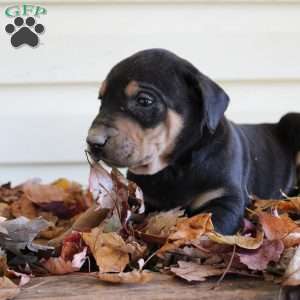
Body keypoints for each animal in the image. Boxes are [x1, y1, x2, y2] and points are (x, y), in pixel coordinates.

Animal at [86, 48, 300, 234]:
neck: (175, 167)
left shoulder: (226, 199)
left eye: (144, 101)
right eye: (101, 99)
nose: (93, 141)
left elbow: (210, 229)